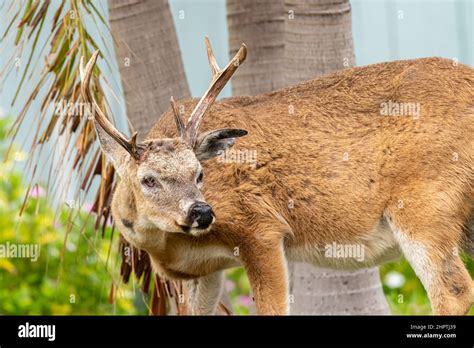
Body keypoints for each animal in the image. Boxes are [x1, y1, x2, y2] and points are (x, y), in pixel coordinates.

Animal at [79, 37, 472, 316]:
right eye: (148, 179)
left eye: (200, 172)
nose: (201, 211)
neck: (170, 245)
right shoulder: (203, 271)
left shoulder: (261, 229)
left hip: (425, 203)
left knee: (454, 292)